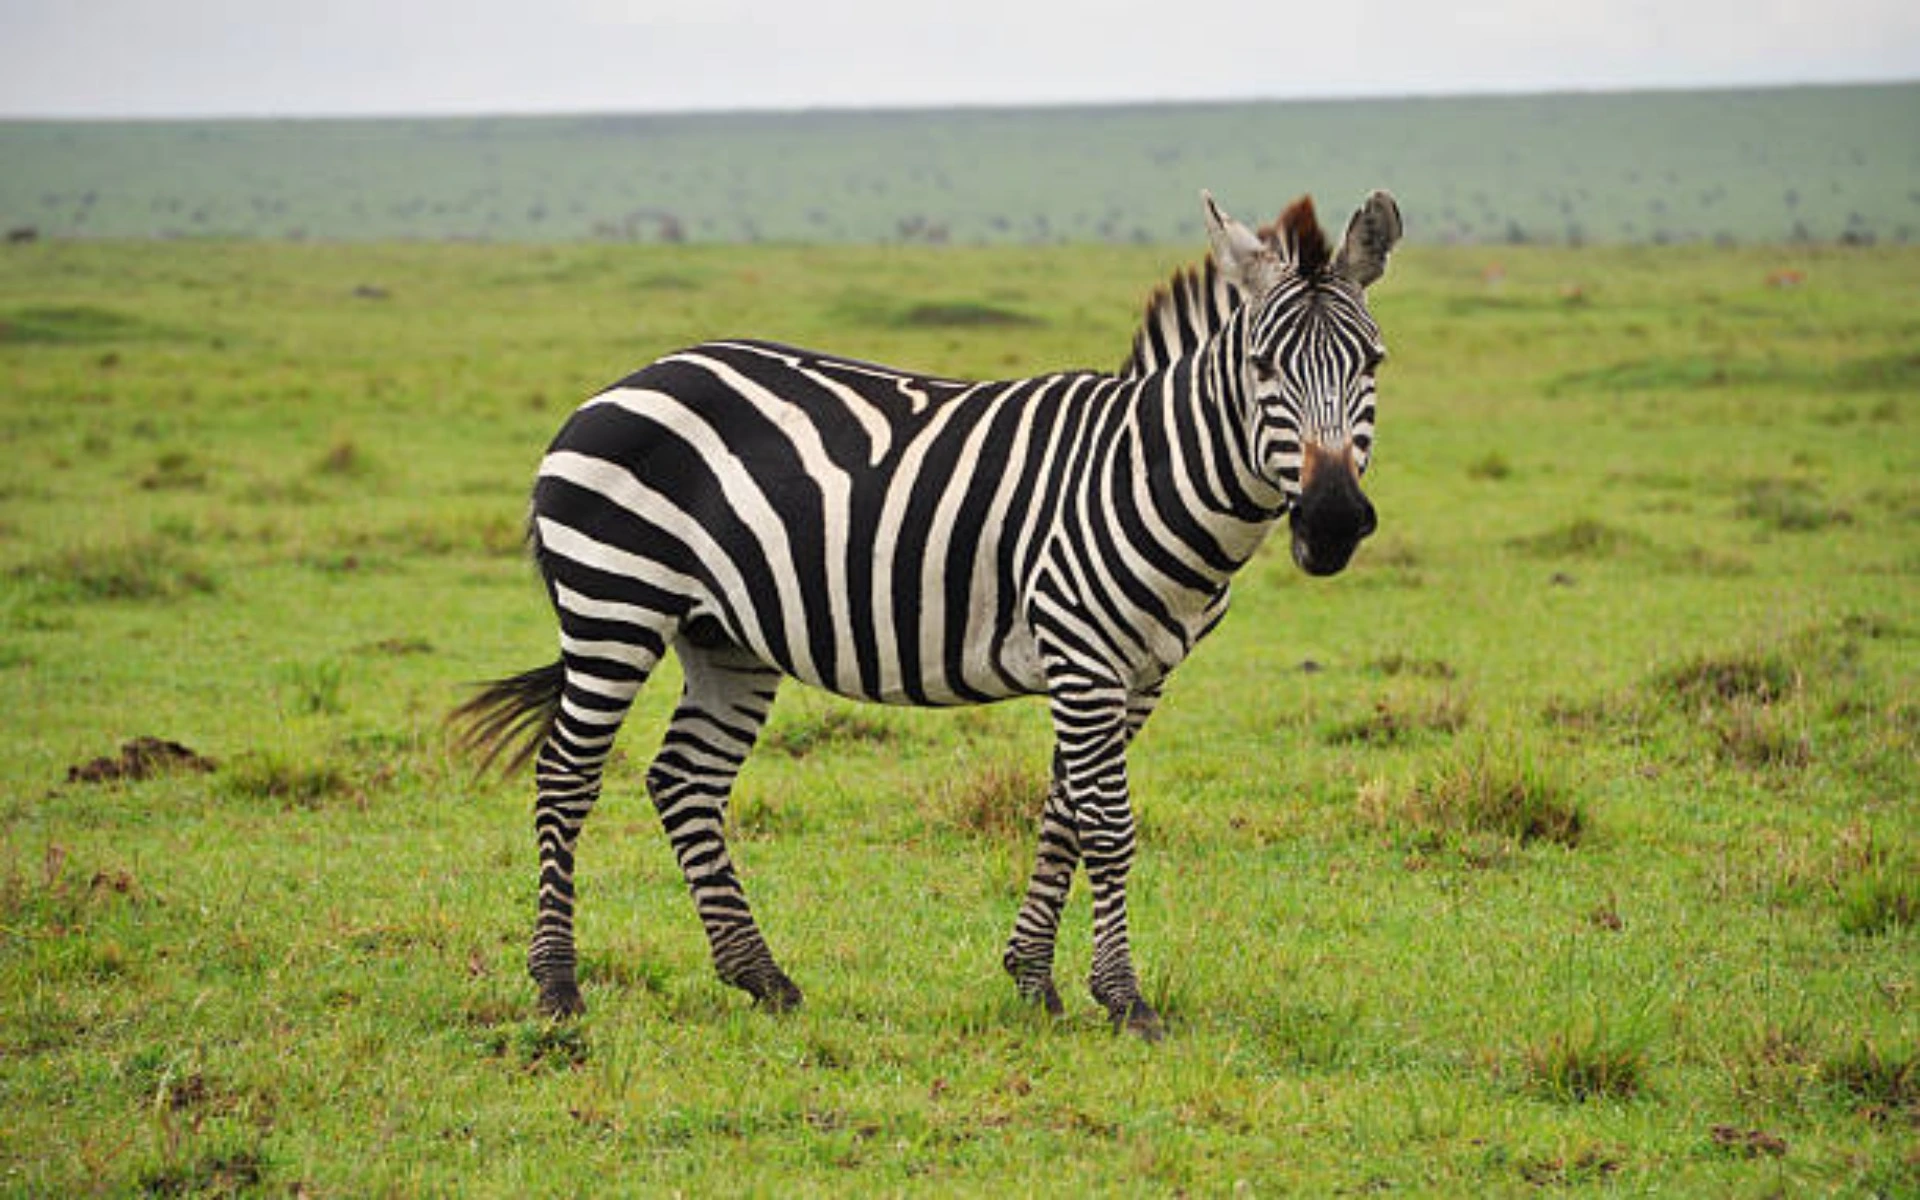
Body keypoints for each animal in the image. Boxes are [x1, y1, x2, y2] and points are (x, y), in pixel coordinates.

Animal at [455, 189, 1402, 1039]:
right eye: (1262, 367)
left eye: (1374, 364)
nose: (1332, 522)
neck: (1145, 470)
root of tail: (627, 382)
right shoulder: (1084, 655)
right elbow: (1107, 823)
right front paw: (1124, 998)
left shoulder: (1137, 674)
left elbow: (1064, 811)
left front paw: (1033, 978)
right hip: (614, 600)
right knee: (566, 775)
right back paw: (558, 987)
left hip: (723, 636)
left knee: (685, 779)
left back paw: (761, 977)